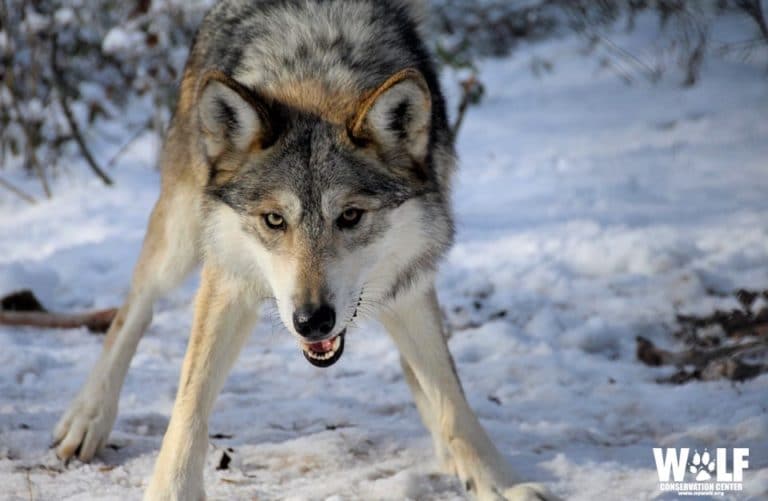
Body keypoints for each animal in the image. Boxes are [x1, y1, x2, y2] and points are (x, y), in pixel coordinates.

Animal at [52, 1, 560, 498]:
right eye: (275, 220)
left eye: (350, 216)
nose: (311, 320)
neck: (320, 76)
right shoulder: (227, 277)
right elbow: (190, 401)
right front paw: (170, 488)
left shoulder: (412, 283)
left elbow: (450, 394)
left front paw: (496, 481)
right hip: (180, 234)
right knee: (133, 309)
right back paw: (87, 416)